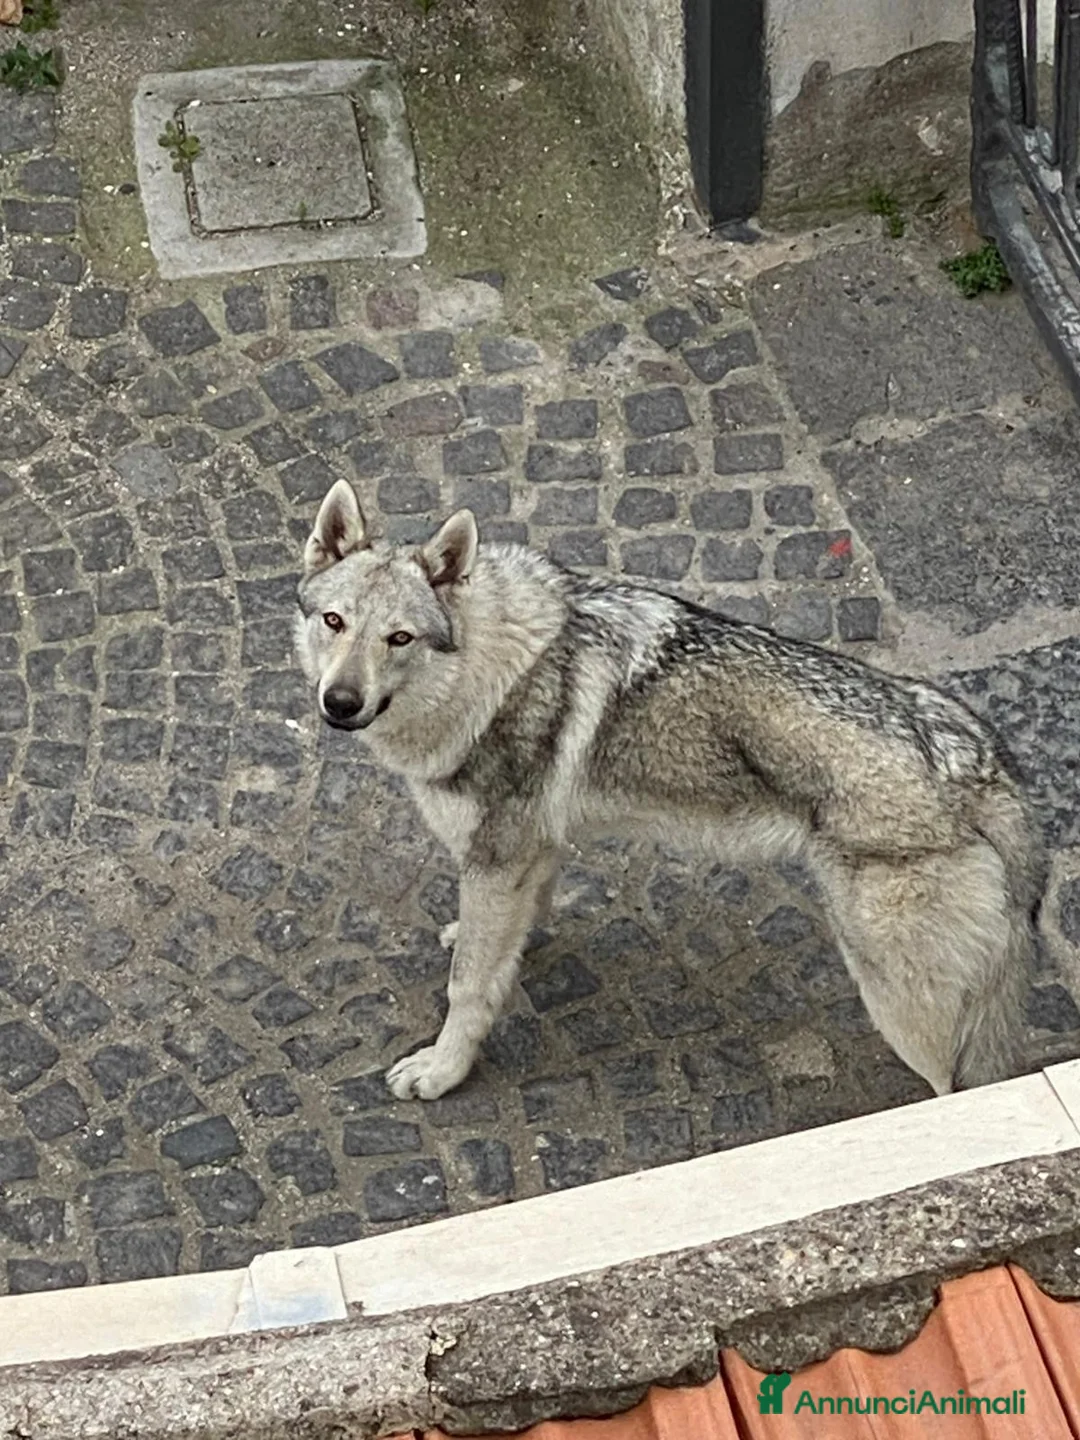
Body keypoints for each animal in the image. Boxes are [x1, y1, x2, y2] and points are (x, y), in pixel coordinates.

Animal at [295, 479, 1044, 1102]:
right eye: (334, 622)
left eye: (399, 638)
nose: (340, 703)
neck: (490, 669)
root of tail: (973, 757)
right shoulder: (530, 853)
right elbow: (509, 935)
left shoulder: (496, 860)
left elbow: (469, 988)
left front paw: (441, 1072)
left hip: (904, 1009)